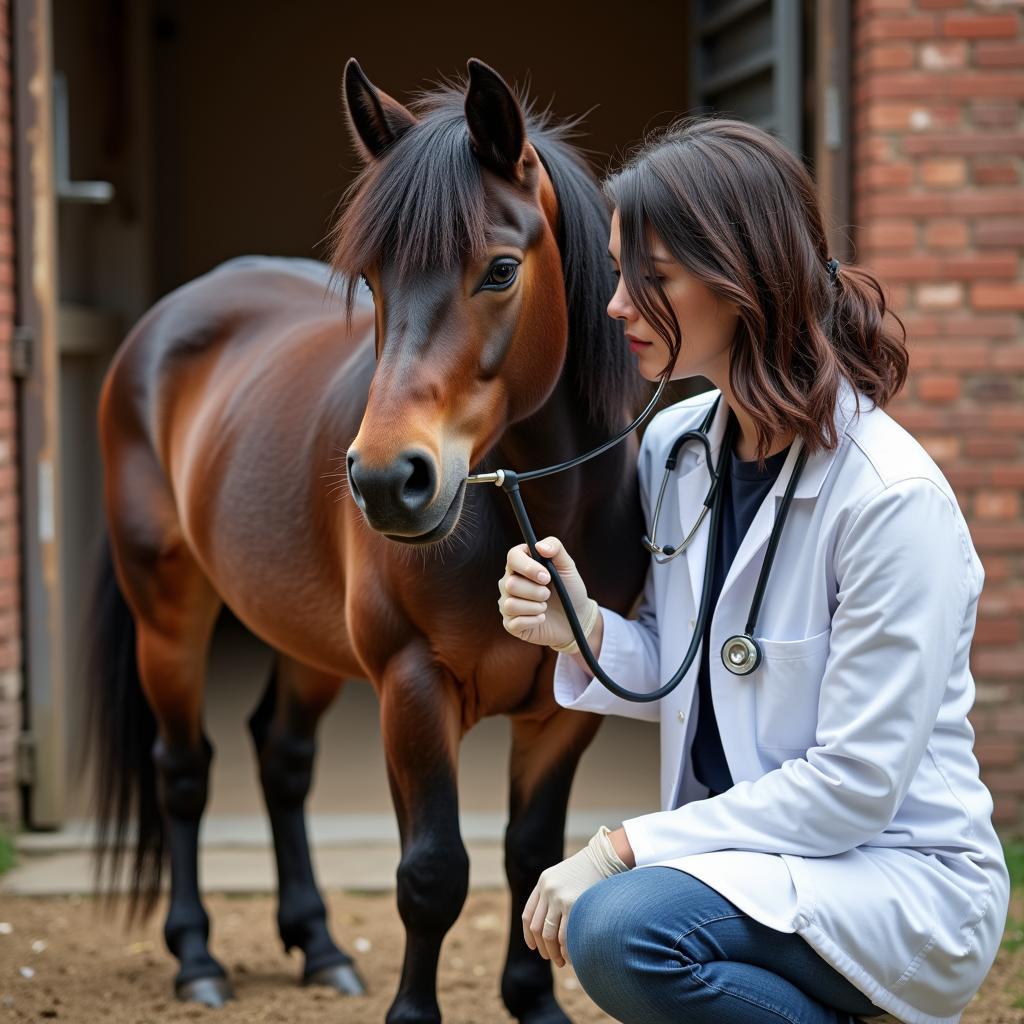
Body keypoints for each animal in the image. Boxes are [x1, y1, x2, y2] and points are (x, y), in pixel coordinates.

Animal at [88, 58, 647, 1024]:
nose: (388, 480)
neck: (532, 511)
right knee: (183, 770)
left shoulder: (563, 708)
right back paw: (197, 959)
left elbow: (528, 859)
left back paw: (317, 946)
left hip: (308, 638)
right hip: (168, 613)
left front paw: (533, 1000)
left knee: (282, 759)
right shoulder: (411, 687)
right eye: (375, 280)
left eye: (501, 269)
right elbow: (433, 875)